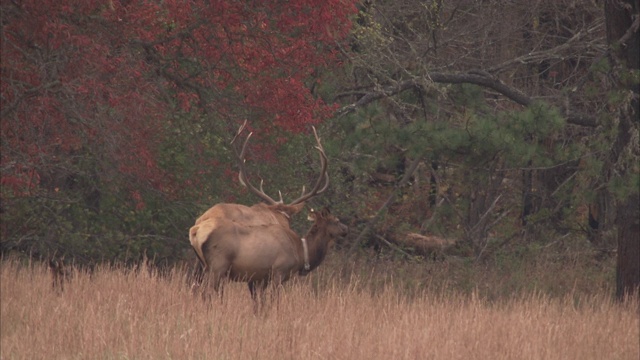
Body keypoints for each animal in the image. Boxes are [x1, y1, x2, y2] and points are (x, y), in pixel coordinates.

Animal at [189, 121, 344, 306]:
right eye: (336, 220)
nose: (345, 229)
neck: (301, 250)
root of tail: (197, 227)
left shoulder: (258, 276)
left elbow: (258, 302)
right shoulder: (277, 272)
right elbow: (272, 301)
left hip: (202, 265)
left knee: (195, 287)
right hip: (218, 266)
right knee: (207, 292)